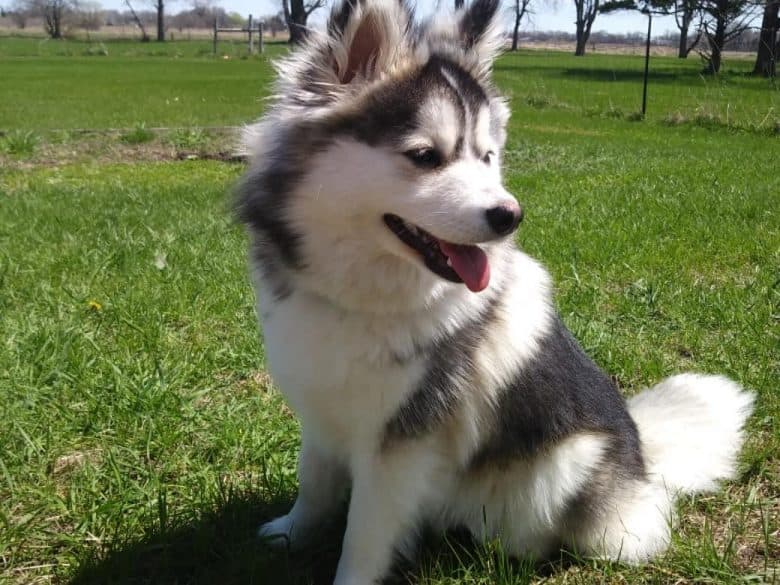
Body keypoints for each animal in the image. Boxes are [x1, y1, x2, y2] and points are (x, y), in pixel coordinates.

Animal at [233, 2, 756, 580]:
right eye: (425, 156)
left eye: (486, 156)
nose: (510, 216)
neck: (361, 297)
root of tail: (642, 460)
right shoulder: (322, 405)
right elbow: (314, 482)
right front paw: (292, 533)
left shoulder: (400, 443)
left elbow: (364, 534)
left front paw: (350, 575)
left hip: (566, 466)